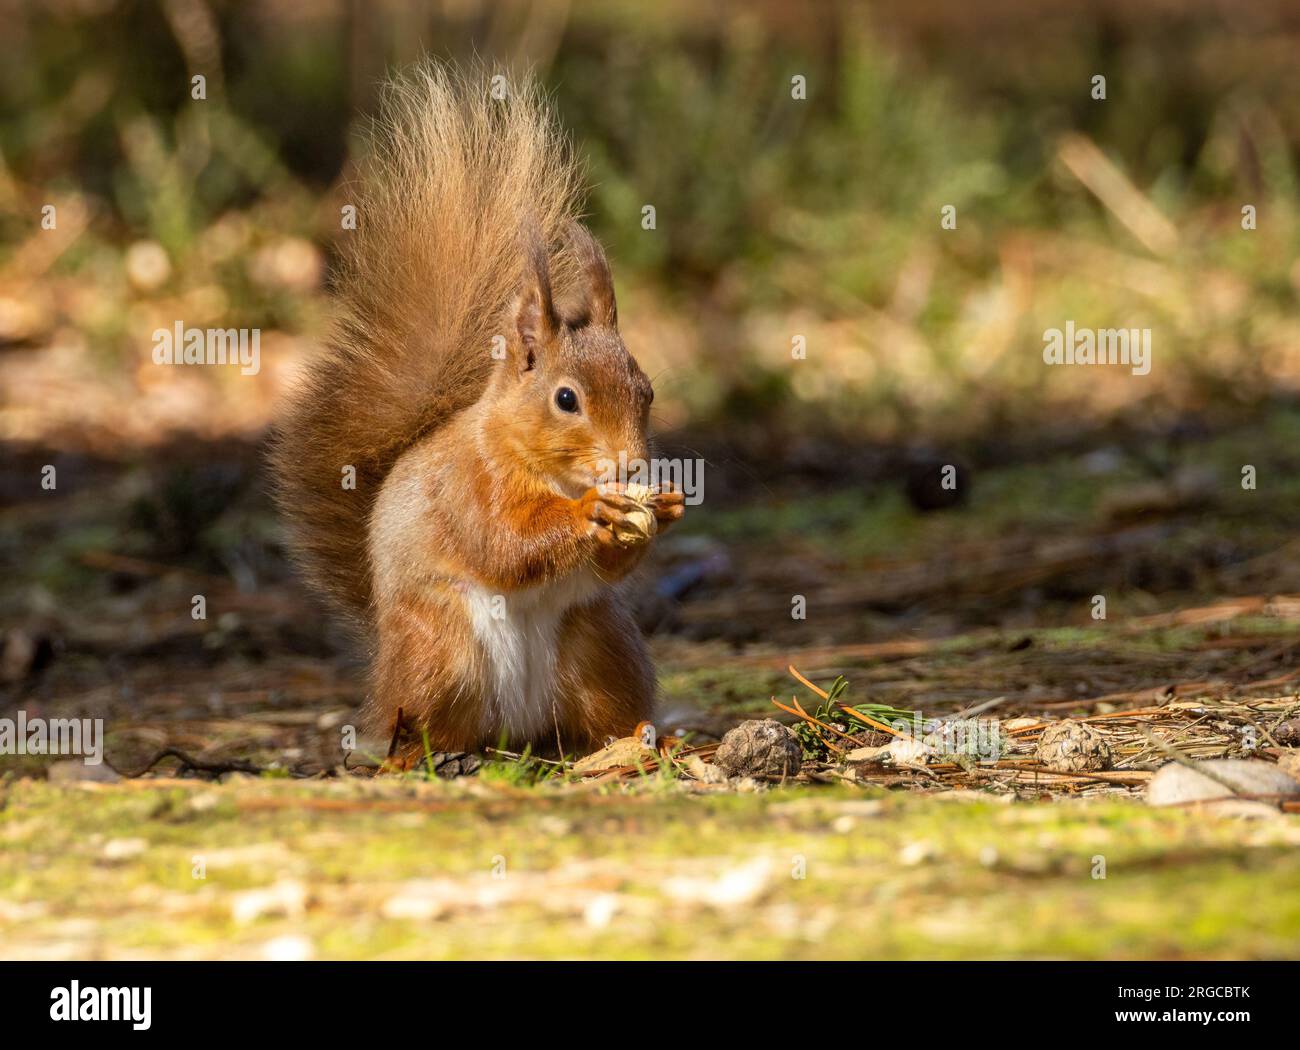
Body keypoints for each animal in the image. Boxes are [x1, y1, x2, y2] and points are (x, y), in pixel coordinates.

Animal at [270, 61, 686, 764]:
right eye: (566, 399)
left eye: (647, 391)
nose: (631, 465)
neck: (544, 468)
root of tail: (515, 731)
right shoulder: (468, 484)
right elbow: (502, 545)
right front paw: (592, 512)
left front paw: (668, 506)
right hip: (441, 651)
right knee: (418, 723)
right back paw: (421, 754)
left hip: (600, 643)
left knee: (598, 716)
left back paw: (635, 742)